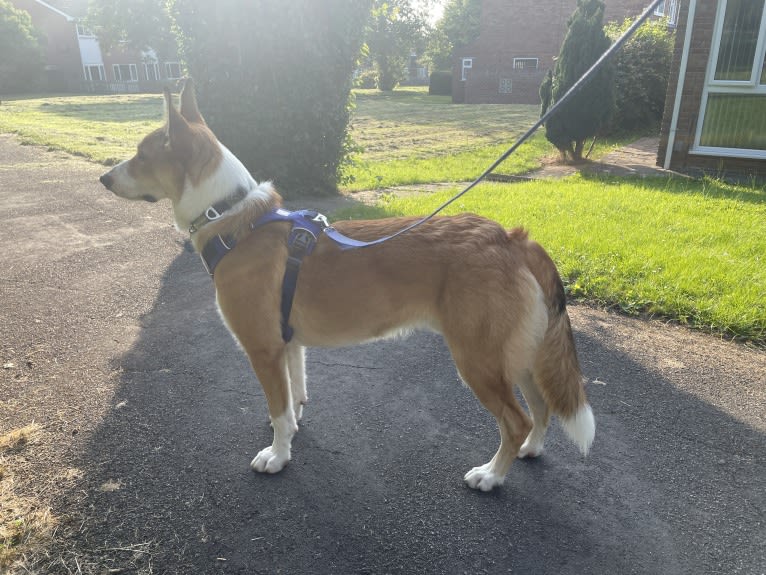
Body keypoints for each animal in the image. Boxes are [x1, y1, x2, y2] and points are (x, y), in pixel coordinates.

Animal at [99, 79, 596, 492]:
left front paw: (277, 456)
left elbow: (278, 406)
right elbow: (291, 399)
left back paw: (492, 475)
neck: (233, 216)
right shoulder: (288, 346)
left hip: (480, 360)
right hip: (516, 356)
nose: (103, 177)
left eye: (142, 156)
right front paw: (288, 433)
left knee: (515, 420)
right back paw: (532, 449)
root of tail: (512, 238)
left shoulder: (263, 349)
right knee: (541, 408)